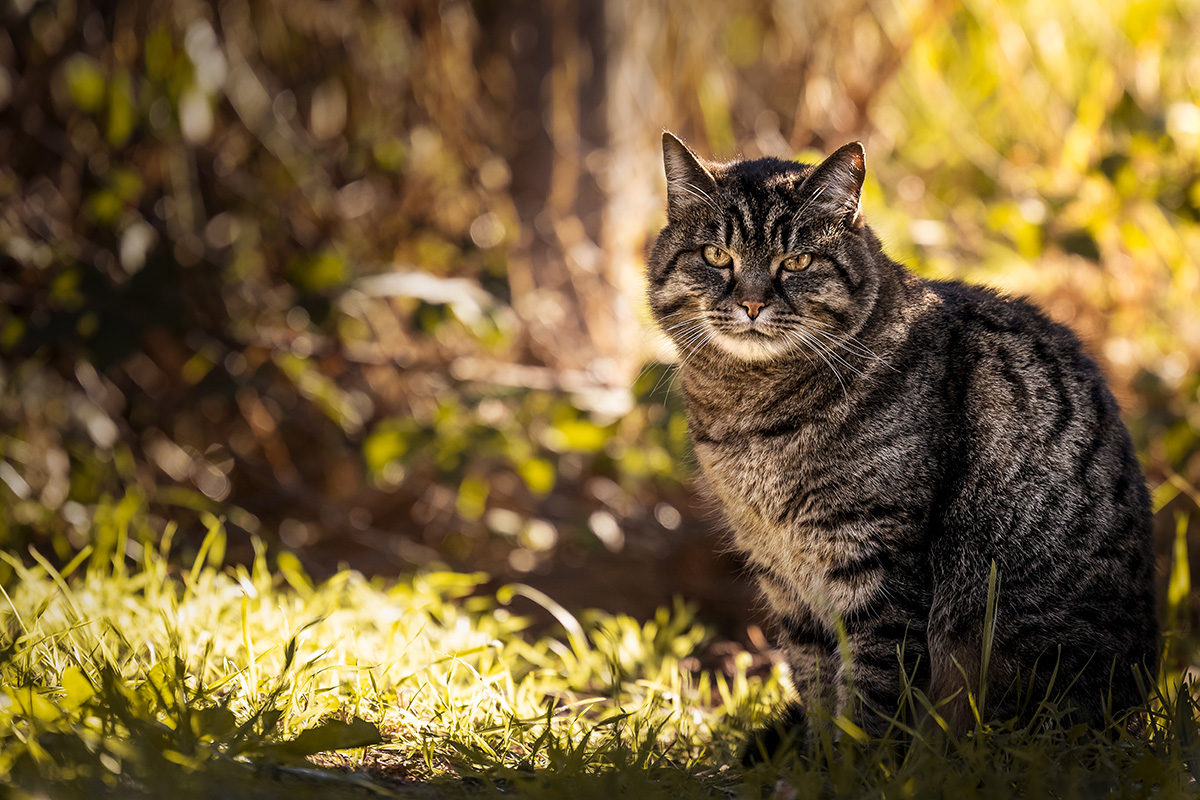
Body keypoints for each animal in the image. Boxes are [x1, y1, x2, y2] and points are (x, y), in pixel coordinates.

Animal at [652, 133, 1156, 762]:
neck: (748, 412)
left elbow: (873, 692)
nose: (750, 303)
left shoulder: (878, 562)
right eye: (716, 256)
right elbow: (817, 684)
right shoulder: (784, 577)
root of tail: (1131, 718)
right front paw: (817, 766)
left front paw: (860, 768)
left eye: (797, 262)